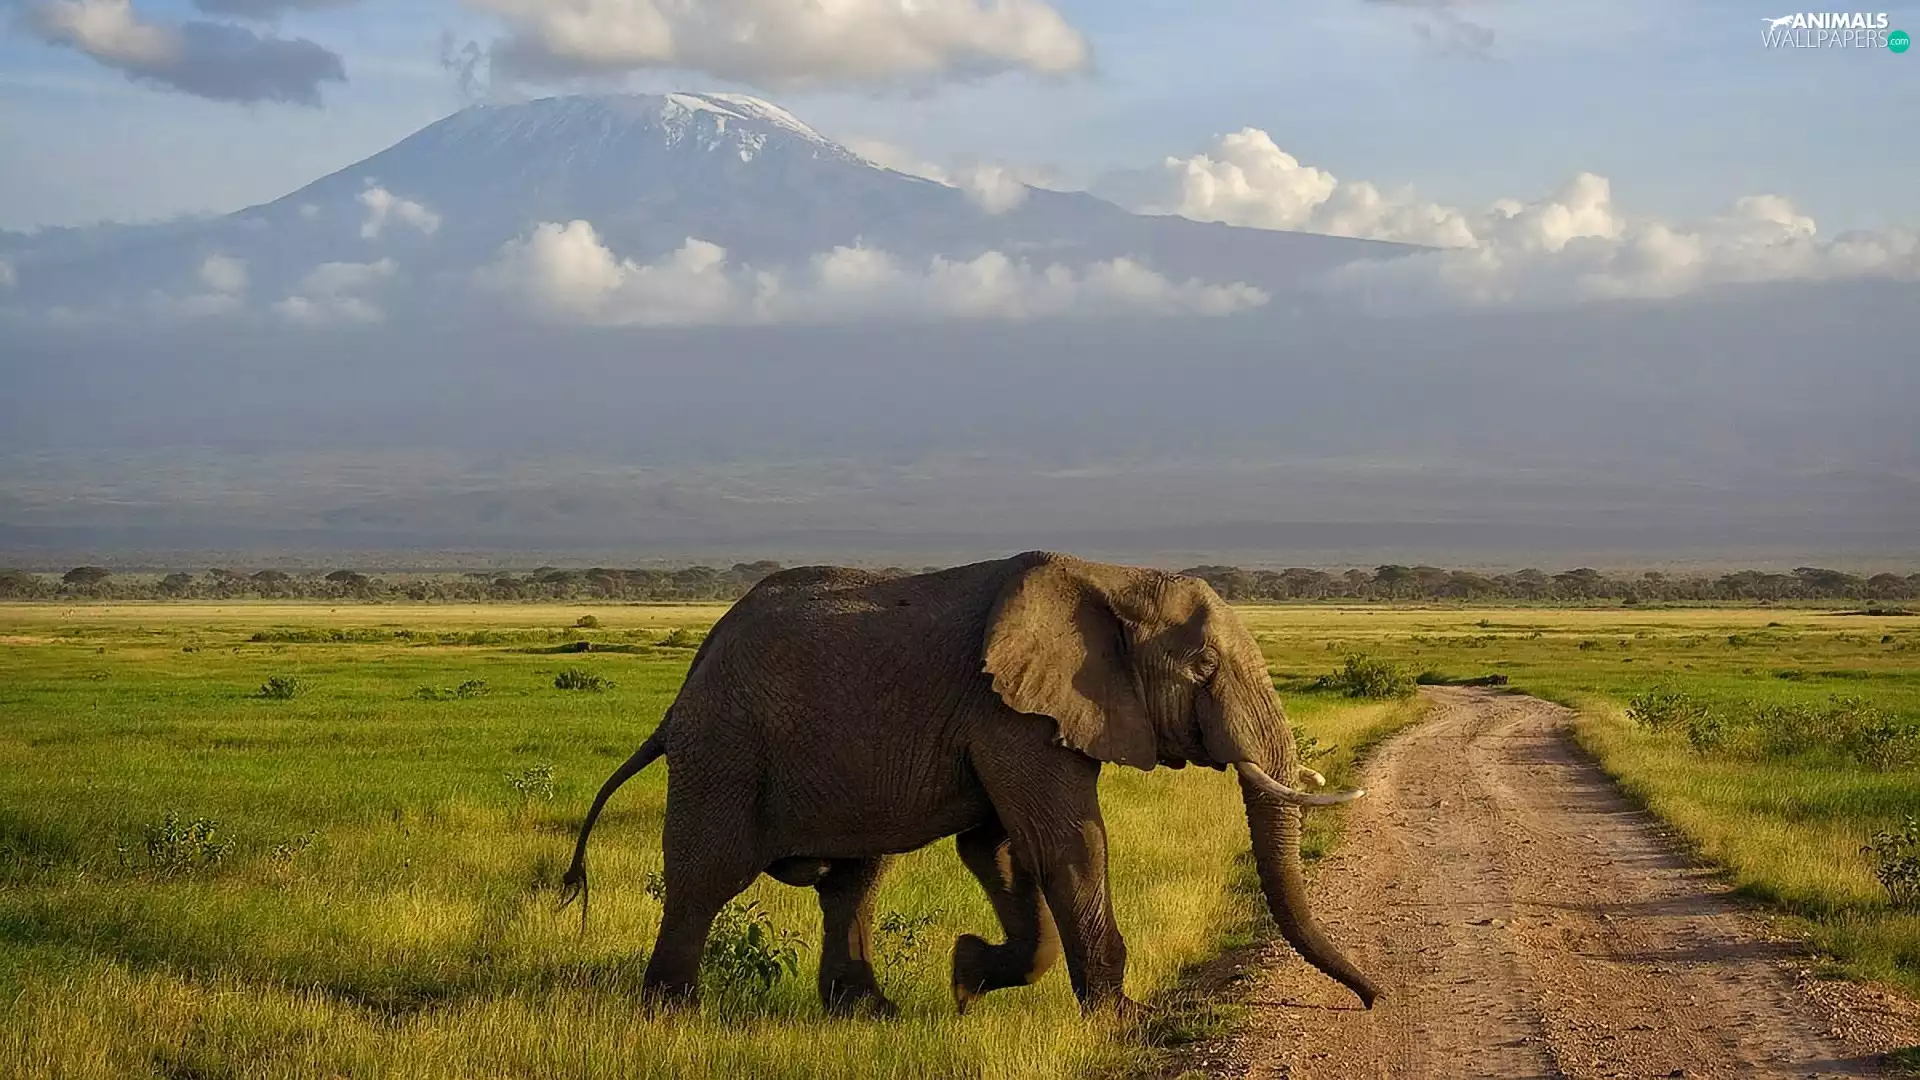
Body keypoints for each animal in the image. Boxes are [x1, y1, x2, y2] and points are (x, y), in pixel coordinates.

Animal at [560, 551, 1378, 1017]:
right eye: (1203, 668)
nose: (1372, 1000)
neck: (1115, 580)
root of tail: (684, 687)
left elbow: (1000, 852)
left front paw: (964, 978)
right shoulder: (1009, 711)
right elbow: (1065, 845)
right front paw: (1126, 1023)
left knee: (854, 879)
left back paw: (869, 1014)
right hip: (724, 750)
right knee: (706, 877)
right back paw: (671, 1016)